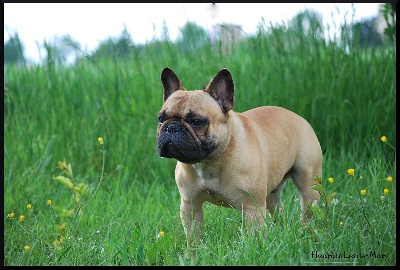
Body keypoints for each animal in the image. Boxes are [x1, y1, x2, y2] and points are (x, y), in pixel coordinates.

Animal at [156, 67, 322, 247]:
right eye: (161, 119)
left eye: (196, 121)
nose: (172, 127)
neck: (208, 162)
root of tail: (297, 116)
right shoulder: (190, 205)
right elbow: (193, 237)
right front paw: (194, 253)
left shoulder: (251, 208)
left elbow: (255, 237)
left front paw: (257, 249)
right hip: (271, 195)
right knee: (278, 211)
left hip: (309, 187)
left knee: (308, 213)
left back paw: (309, 236)